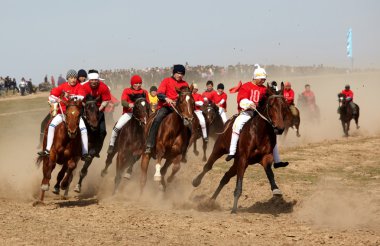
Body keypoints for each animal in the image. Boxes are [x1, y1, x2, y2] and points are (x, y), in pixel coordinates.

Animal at [193, 82, 290, 213]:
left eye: (284, 106)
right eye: (271, 105)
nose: (279, 129)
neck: (259, 132)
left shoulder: (264, 158)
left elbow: (270, 173)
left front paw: (276, 190)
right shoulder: (243, 159)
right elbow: (239, 184)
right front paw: (234, 209)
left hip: (236, 162)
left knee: (225, 177)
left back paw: (210, 201)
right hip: (220, 149)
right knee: (208, 166)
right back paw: (196, 182)